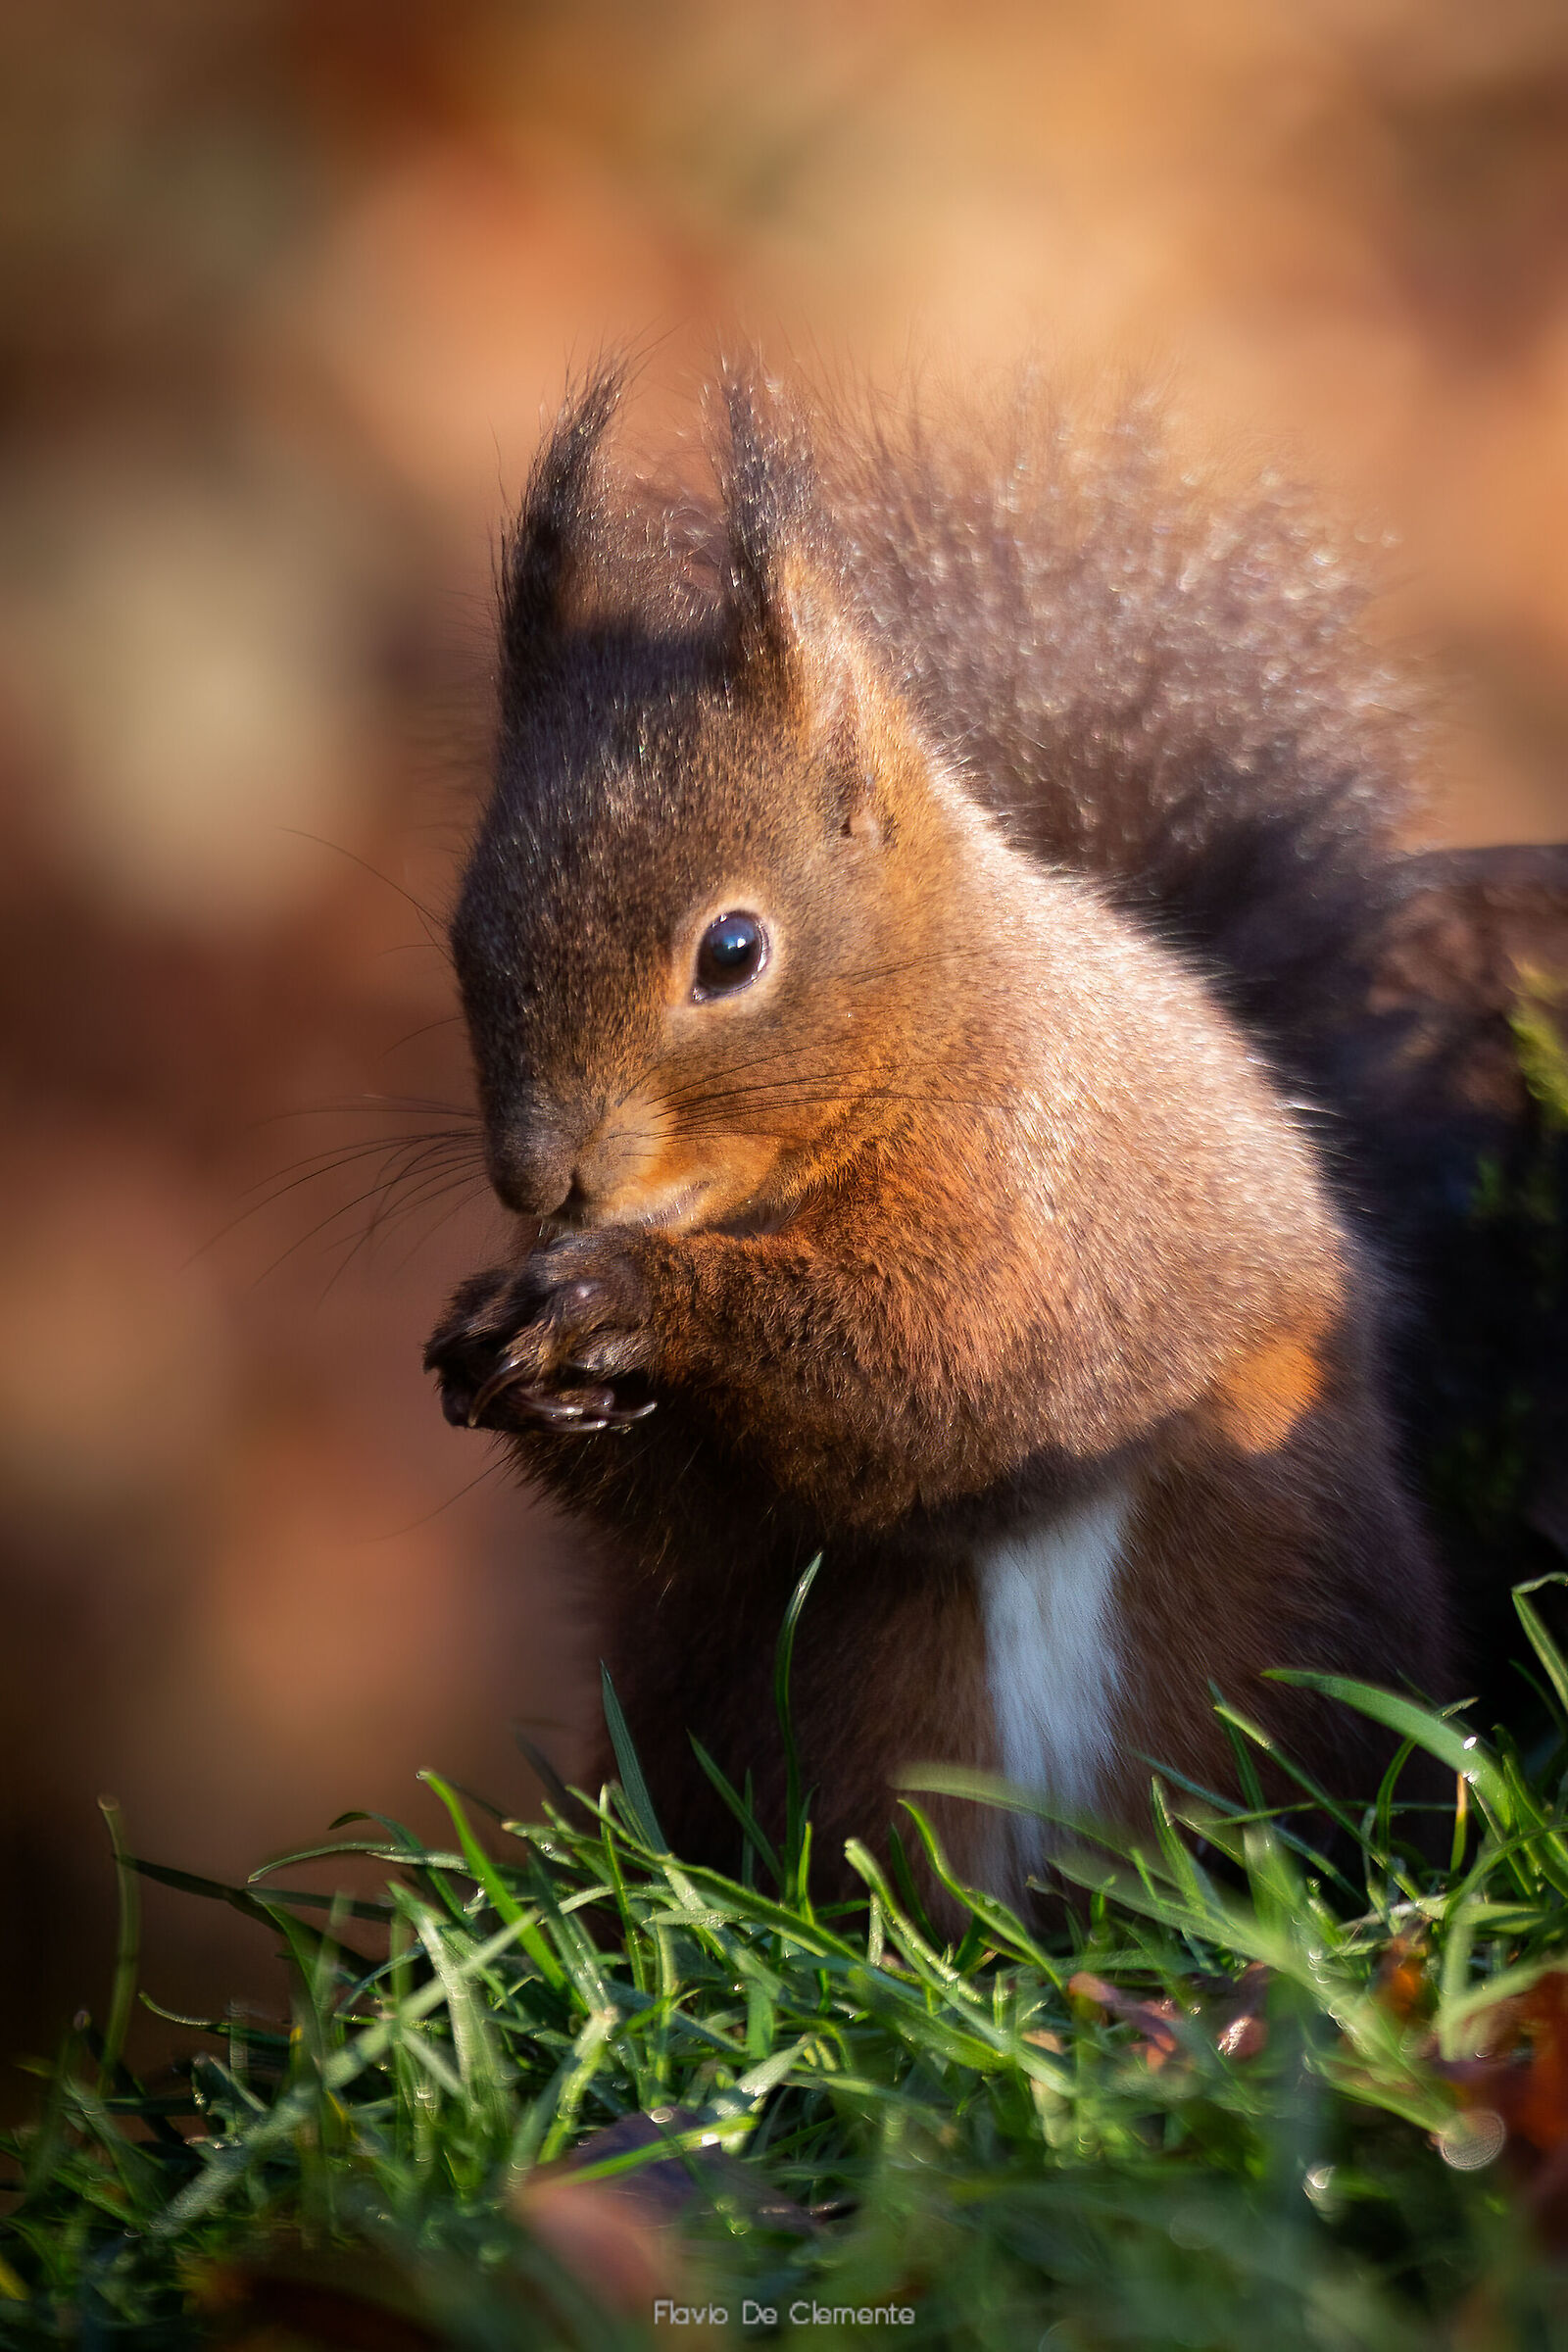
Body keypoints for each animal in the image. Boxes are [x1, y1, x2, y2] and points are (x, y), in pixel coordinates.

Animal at [425, 363, 1566, 1908]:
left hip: (1273, 1591)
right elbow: (735, 1513)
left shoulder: (1046, 1190)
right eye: (460, 937)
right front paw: (494, 1349)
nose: (539, 1181)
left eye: (731, 951)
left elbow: (950, 1364)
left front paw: (624, 1301)